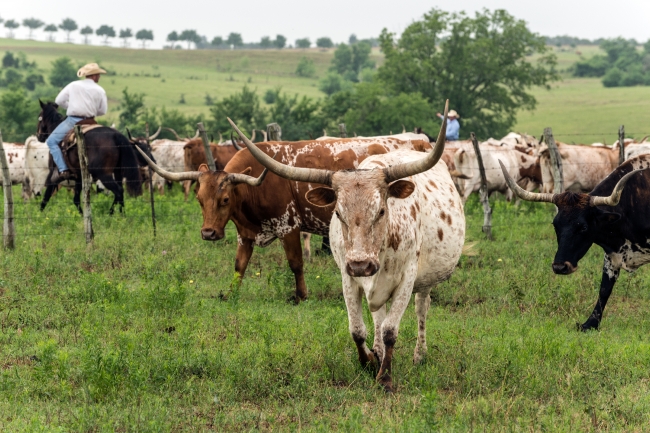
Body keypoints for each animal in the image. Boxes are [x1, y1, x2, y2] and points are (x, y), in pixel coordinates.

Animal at [134, 135, 432, 300]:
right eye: (199, 199)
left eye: (225, 200)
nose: (208, 233)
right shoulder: (245, 233)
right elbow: (239, 265)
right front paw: (230, 294)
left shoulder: (288, 226)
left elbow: (295, 263)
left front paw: (301, 295)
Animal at [496, 157, 648, 330]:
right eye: (555, 225)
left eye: (583, 227)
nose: (560, 267)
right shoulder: (611, 255)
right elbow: (604, 288)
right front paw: (590, 324)